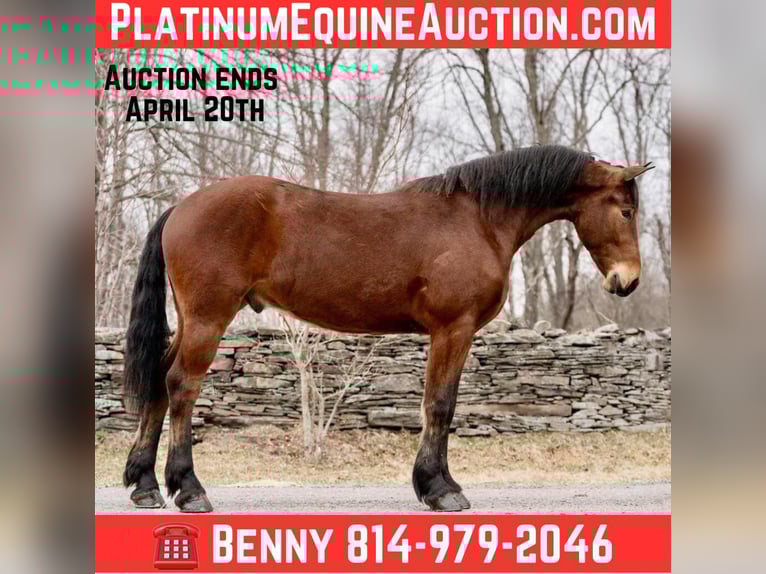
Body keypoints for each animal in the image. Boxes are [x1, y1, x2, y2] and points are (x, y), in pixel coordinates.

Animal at [121, 144, 653, 512]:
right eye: (626, 211)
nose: (627, 281)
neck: (478, 220)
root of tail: (180, 208)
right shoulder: (453, 329)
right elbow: (440, 405)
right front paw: (440, 490)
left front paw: (436, 484)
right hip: (208, 319)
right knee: (181, 387)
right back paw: (189, 490)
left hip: (191, 320)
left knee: (158, 383)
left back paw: (145, 486)